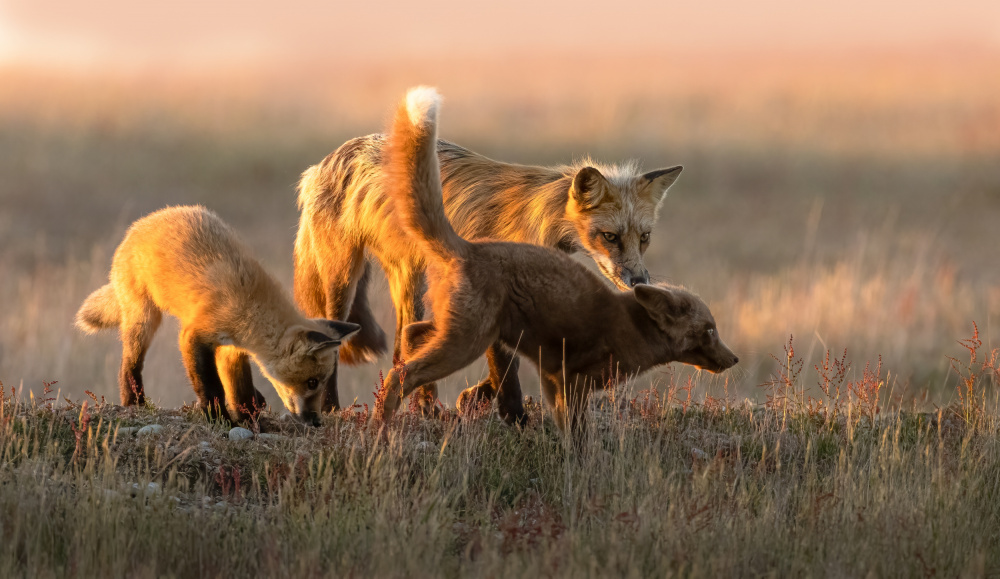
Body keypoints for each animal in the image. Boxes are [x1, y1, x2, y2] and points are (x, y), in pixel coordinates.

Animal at [78, 206, 360, 424]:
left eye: (319, 382)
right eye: (312, 382)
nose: (317, 422)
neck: (251, 308)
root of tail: (141, 223)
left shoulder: (232, 349)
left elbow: (239, 389)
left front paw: (248, 419)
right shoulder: (194, 335)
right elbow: (210, 385)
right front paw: (218, 418)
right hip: (145, 320)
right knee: (129, 363)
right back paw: (133, 400)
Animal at [378, 88, 740, 436]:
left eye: (645, 237)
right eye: (610, 237)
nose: (639, 282)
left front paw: (476, 399)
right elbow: (508, 372)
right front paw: (513, 415)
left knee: (412, 337)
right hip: (458, 323)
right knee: (406, 360)